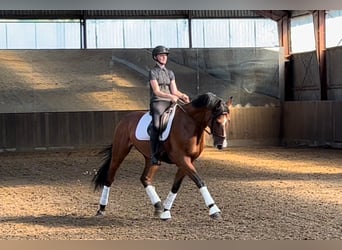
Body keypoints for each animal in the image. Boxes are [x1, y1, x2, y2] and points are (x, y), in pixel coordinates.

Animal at [92, 92, 234, 221]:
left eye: (228, 121)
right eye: (217, 121)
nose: (221, 145)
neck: (190, 124)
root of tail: (124, 118)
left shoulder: (187, 161)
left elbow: (176, 186)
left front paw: (165, 211)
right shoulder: (182, 159)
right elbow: (199, 181)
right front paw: (214, 210)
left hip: (151, 159)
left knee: (145, 178)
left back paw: (158, 206)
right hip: (120, 152)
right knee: (110, 177)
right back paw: (101, 209)